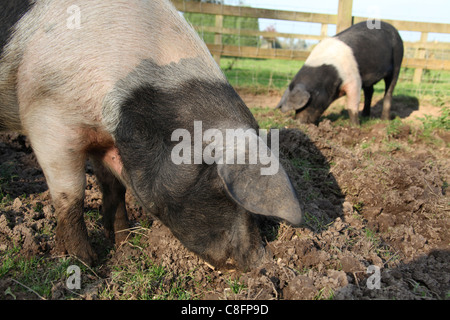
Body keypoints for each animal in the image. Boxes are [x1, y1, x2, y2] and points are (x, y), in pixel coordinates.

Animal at [0, 0, 302, 270]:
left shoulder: (107, 142)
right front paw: (85, 263)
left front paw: (123, 242)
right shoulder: (46, 114)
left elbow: (114, 189)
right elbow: (71, 196)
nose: (260, 262)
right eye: (218, 185)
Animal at [276, 21, 406, 125]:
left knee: (389, 90)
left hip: (398, 59)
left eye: (308, 102)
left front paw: (355, 126)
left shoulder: (354, 79)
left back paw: (384, 120)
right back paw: (365, 116)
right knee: (370, 92)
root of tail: (394, 29)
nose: (298, 122)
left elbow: (352, 105)